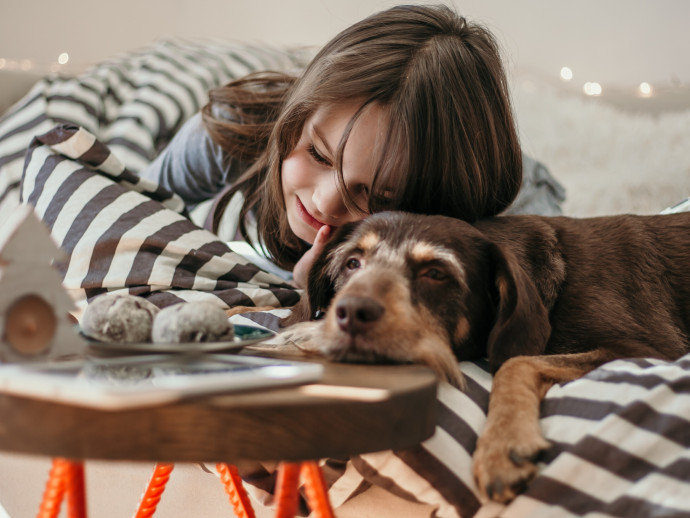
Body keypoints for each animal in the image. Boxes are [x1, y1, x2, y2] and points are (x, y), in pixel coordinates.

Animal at [280, 210, 688, 504]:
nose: (350, 313)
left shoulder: (641, 350)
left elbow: (514, 361)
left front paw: (502, 445)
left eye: (435, 273)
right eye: (352, 263)